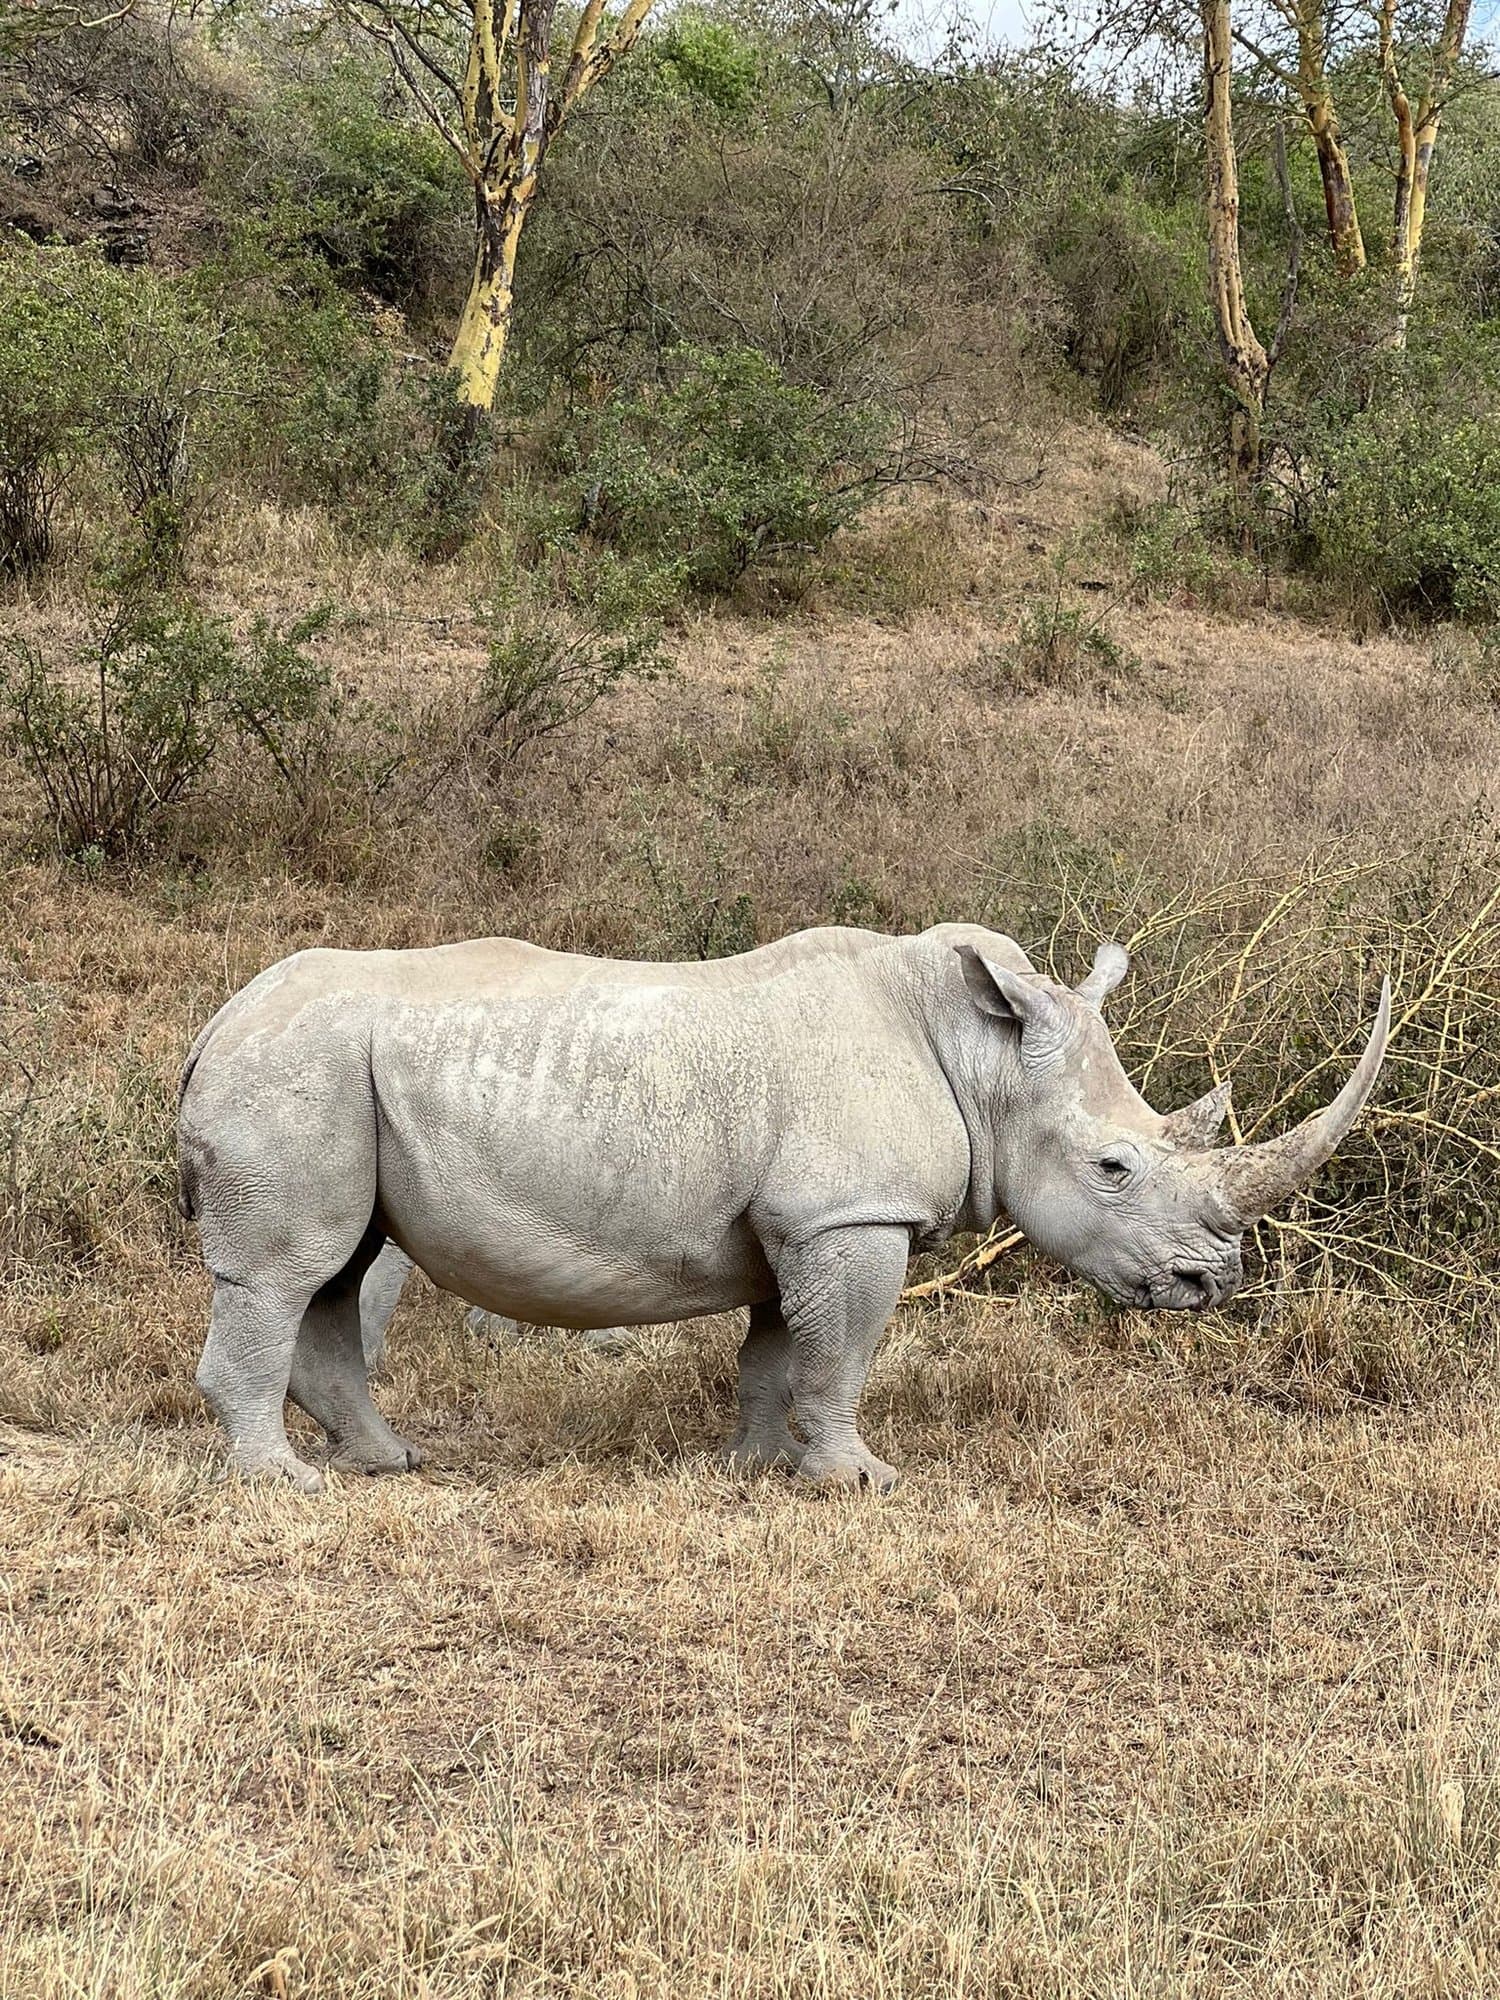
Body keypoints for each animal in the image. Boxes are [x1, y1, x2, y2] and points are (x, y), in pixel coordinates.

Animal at [177, 923, 1390, 1494]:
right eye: (1113, 1167)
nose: (1211, 1283)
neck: (979, 1057)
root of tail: (214, 1023)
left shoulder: (800, 1220)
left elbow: (775, 1350)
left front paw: (754, 1467)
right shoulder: (850, 1214)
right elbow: (841, 1352)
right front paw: (860, 1481)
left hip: (333, 1074)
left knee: (338, 1268)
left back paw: (388, 1462)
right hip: (295, 1070)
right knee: (289, 1270)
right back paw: (282, 1481)